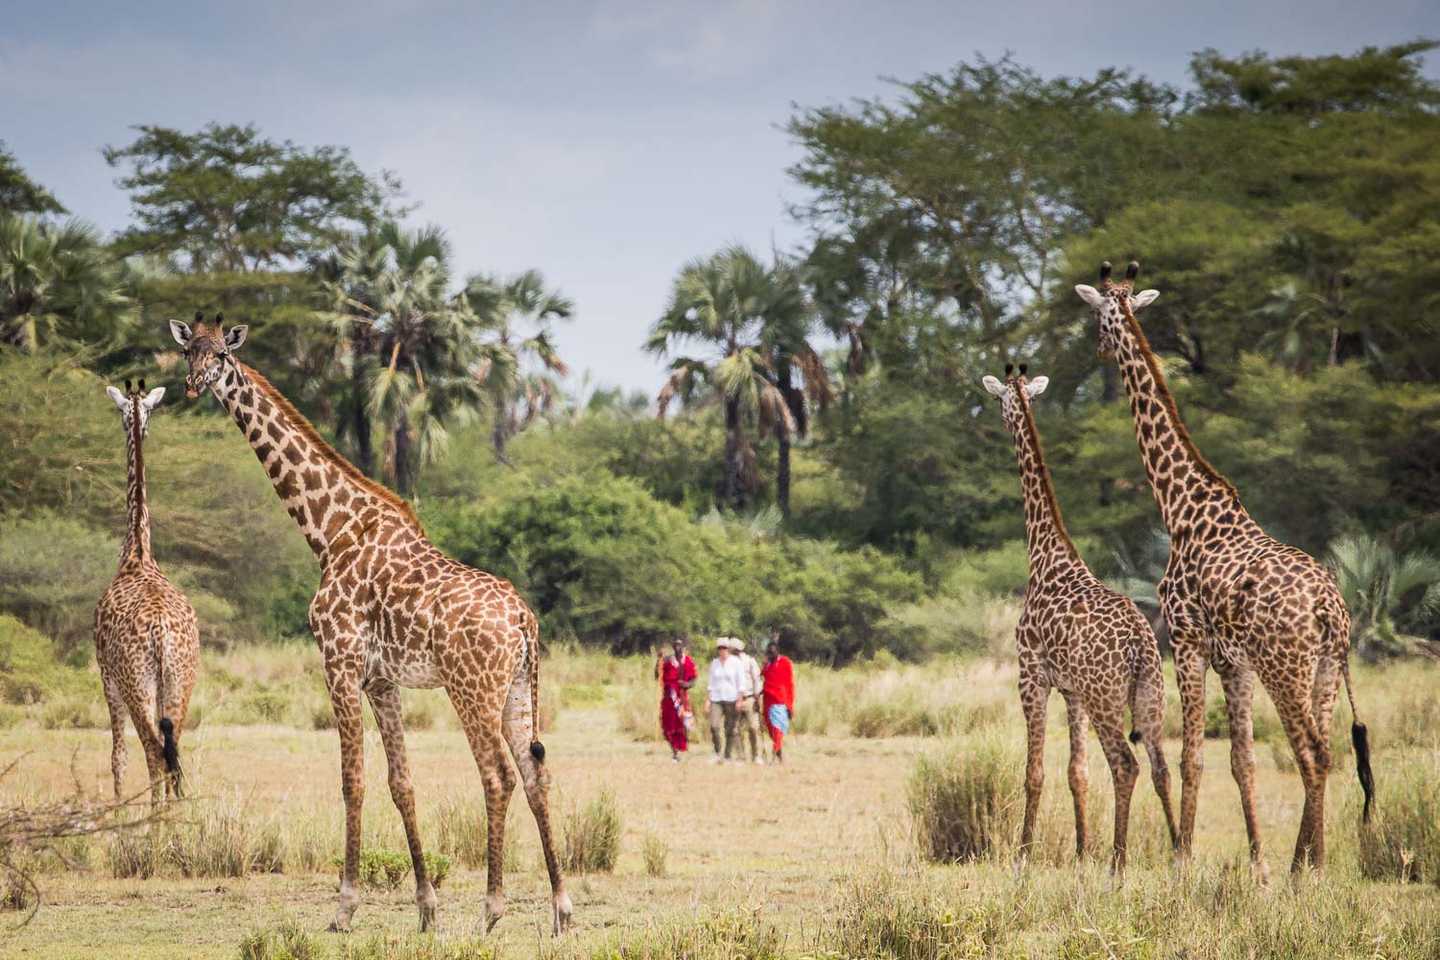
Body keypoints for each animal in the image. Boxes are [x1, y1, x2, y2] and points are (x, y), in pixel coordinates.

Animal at [168, 313, 572, 936]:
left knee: (498, 774)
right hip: (518, 687)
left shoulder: (338, 661)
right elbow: (401, 783)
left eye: (223, 357)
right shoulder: (381, 679)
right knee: (534, 773)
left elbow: (351, 781)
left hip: (471, 688)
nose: (193, 384)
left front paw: (344, 907)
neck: (328, 532)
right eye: (189, 350)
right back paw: (560, 909)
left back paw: (493, 907)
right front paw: (426, 908)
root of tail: (525, 619)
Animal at [982, 364, 1177, 872]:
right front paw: (1081, 852)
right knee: (1161, 766)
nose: (1000, 420)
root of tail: (1139, 646)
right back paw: (1178, 854)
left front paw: (1023, 857)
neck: (1045, 556)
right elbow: (1078, 772)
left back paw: (1119, 863)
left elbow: (1035, 771)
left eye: (1002, 400)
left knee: (1126, 764)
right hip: (1150, 693)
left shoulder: (1031, 675)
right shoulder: (1071, 691)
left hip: (1106, 696)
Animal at [1075, 261, 1374, 878]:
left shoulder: (1186, 639)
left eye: (1097, 316)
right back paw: (1306, 861)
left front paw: (1181, 860)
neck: (1182, 506)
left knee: (1311, 751)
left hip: (1286, 666)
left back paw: (1306, 869)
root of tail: (1330, 609)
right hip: (1328, 667)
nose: (1098, 350)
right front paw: (1256, 861)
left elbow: (1192, 756)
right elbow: (1241, 760)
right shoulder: (1233, 662)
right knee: (1328, 749)